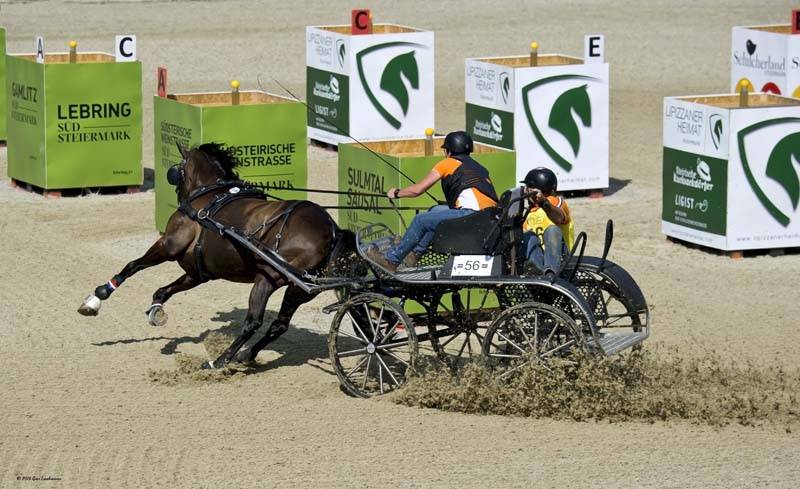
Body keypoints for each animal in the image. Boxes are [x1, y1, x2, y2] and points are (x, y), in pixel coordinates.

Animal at [79, 143, 350, 368]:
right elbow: (164, 291)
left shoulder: (169, 244)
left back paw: (220, 360)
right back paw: (246, 355)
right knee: (279, 324)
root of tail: (331, 229)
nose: (178, 193)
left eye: (178, 170)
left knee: (253, 322)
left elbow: (132, 266)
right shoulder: (197, 272)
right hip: (298, 289)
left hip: (267, 278)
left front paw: (97, 297)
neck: (210, 197)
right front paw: (156, 310)